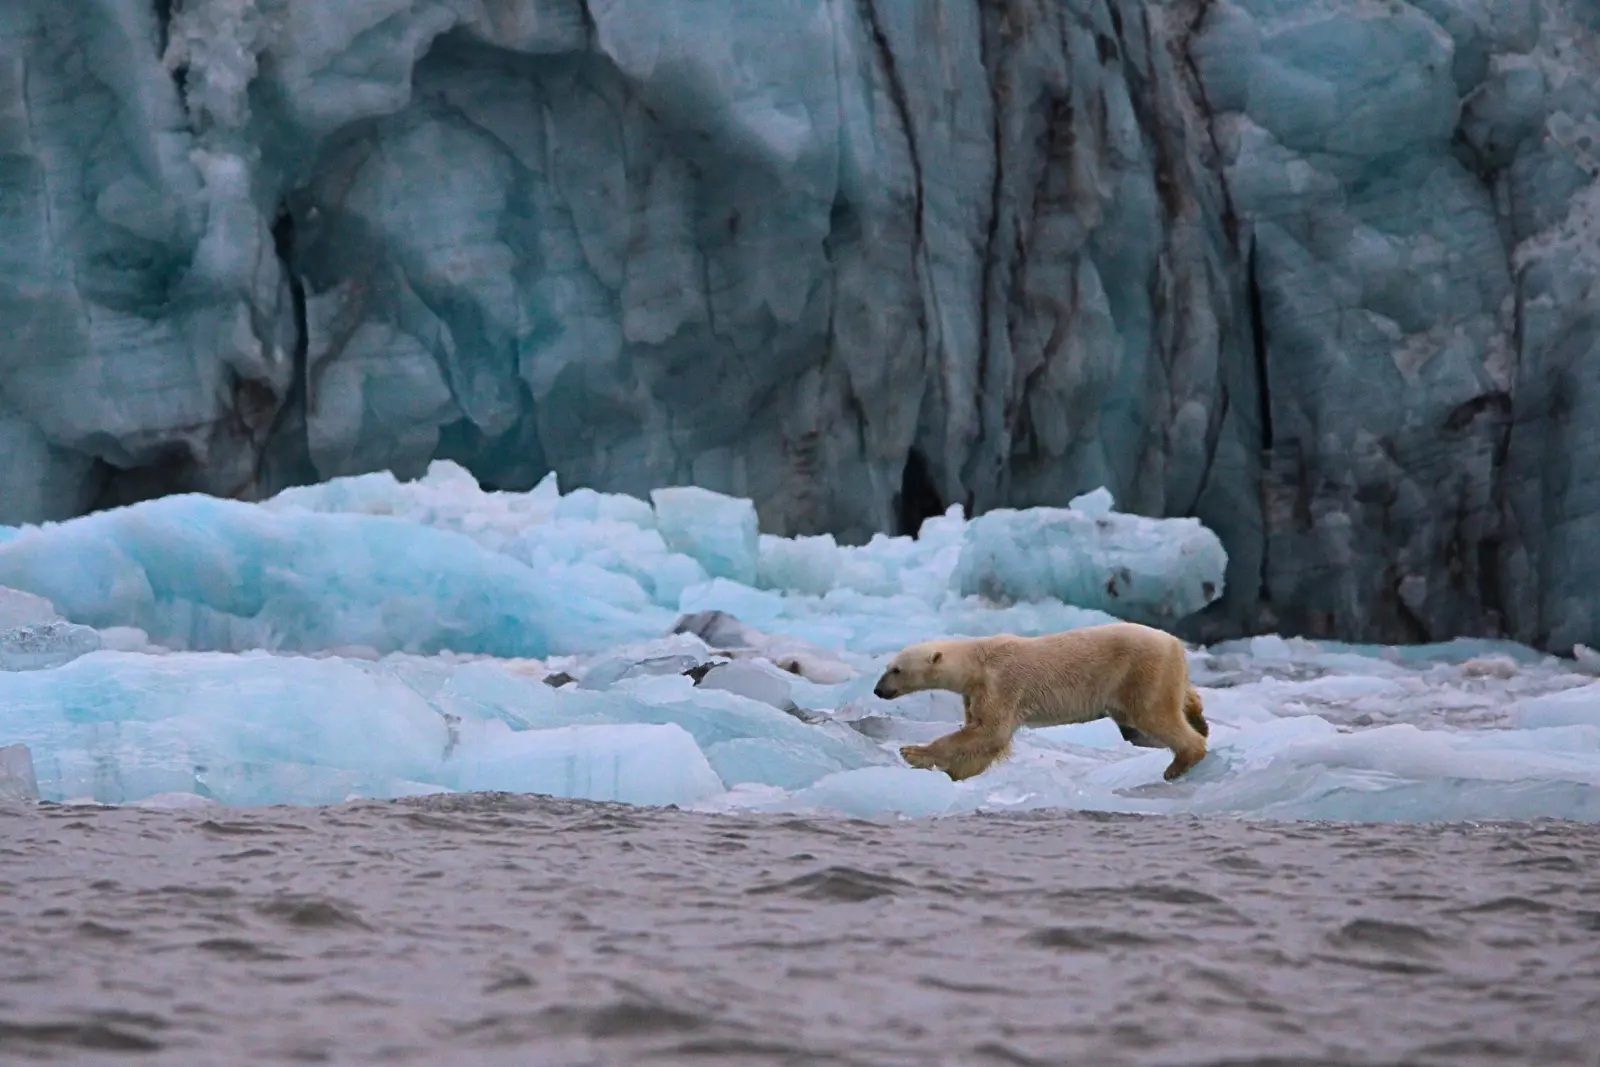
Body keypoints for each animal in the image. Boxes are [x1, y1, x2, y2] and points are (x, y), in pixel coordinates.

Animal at [872, 621, 1209, 783]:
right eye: (887, 667)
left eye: (896, 669)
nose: (877, 690)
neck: (978, 661)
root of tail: (1175, 642)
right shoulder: (976, 692)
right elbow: (983, 736)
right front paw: (955, 774)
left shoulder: (1001, 684)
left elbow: (990, 732)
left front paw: (912, 752)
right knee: (1178, 698)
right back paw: (1200, 719)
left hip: (1141, 670)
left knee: (1154, 715)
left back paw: (1180, 763)